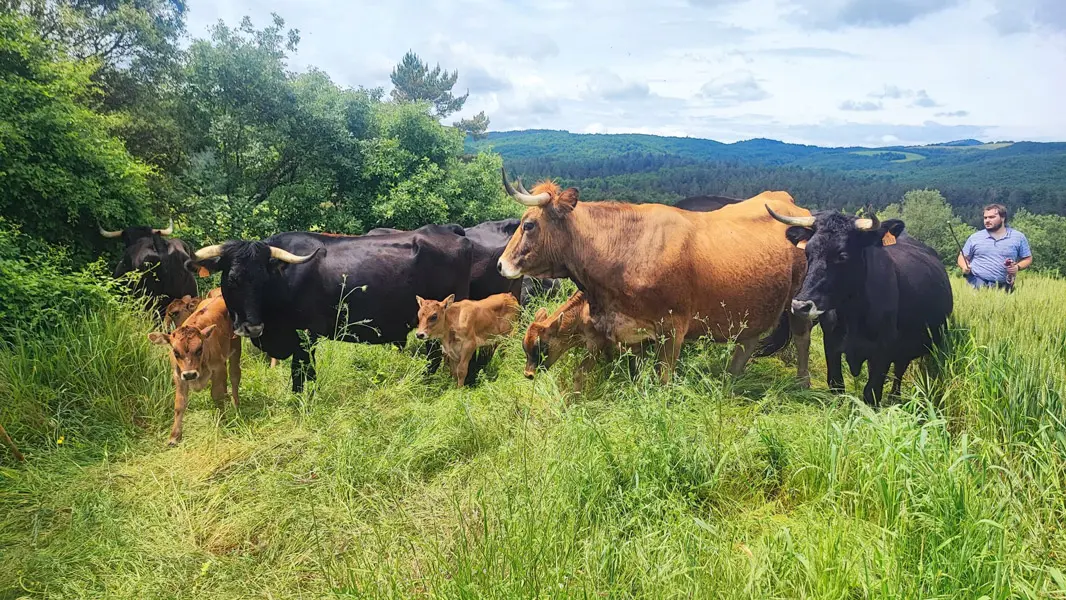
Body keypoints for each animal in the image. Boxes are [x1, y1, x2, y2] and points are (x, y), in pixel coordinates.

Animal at [148, 294, 241, 446]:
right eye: (175, 352)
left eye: (199, 349)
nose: (190, 374)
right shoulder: (178, 375)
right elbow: (179, 404)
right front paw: (174, 437)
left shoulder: (218, 368)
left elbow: (217, 396)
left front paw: (222, 421)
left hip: (235, 348)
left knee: (234, 375)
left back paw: (236, 404)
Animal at [496, 168, 813, 385]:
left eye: (528, 224)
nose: (500, 264)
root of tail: (786, 200)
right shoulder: (629, 332)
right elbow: (636, 375)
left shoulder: (673, 329)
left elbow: (663, 380)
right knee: (748, 341)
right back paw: (730, 380)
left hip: (798, 303)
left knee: (802, 338)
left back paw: (802, 384)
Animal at [766, 207, 953, 406]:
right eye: (807, 252)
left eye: (842, 256)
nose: (800, 305)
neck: (852, 314)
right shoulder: (831, 344)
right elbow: (836, 384)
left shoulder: (883, 351)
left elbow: (871, 392)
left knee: (899, 373)